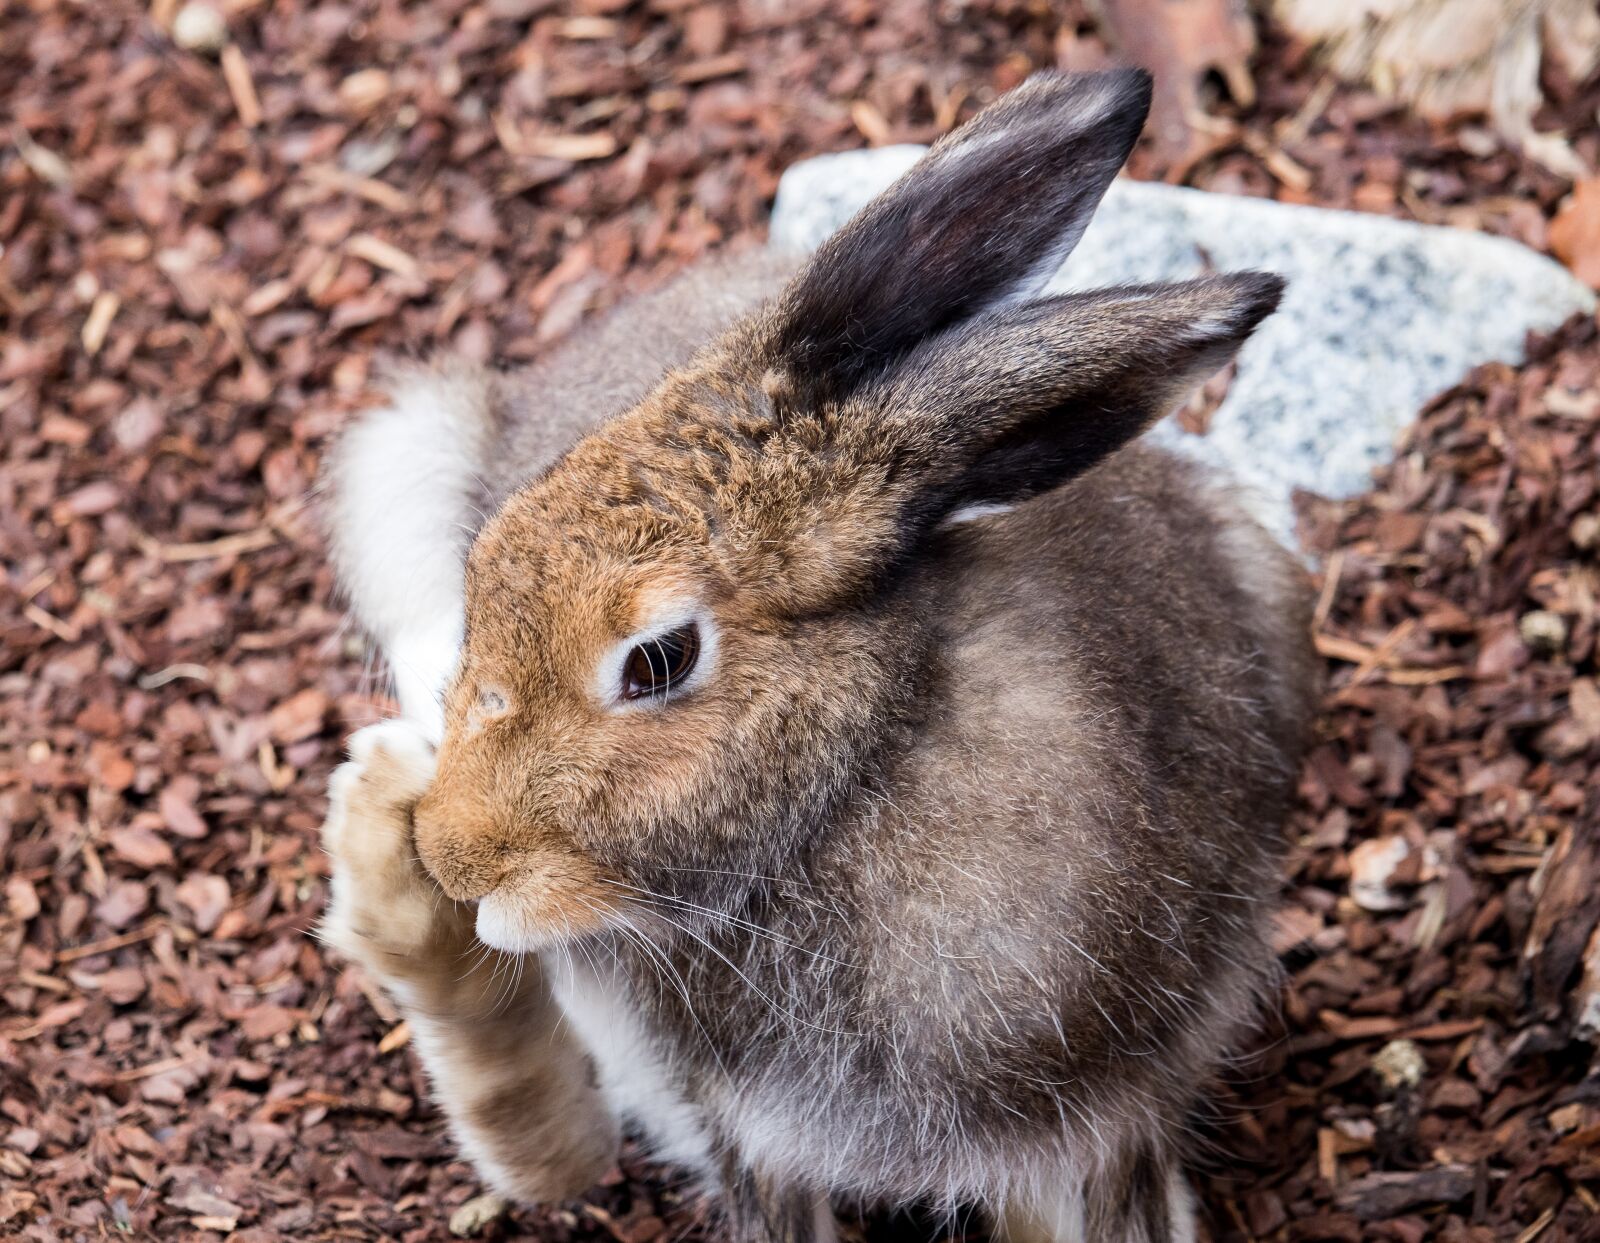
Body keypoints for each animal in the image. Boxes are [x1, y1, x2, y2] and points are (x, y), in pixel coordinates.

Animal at [319, 68, 1318, 1243]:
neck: (862, 772)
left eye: (657, 660)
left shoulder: (1099, 1126)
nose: (459, 854)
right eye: (487, 566)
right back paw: (381, 840)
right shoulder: (748, 1124)